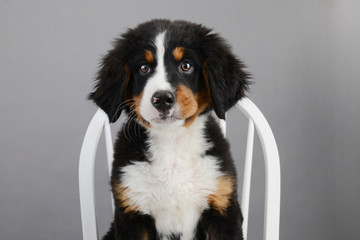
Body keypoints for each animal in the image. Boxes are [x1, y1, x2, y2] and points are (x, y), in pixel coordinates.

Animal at [88, 19, 249, 240]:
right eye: (143, 67)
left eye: (186, 66)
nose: (163, 99)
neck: (172, 143)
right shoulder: (132, 213)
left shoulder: (223, 207)